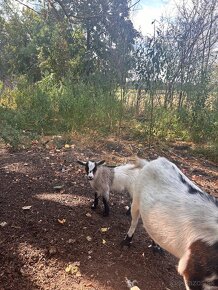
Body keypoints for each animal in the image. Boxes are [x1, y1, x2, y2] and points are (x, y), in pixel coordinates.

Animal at [122, 157, 218, 288]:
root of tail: (152, 162)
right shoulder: (193, 272)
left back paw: (156, 247)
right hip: (136, 197)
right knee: (134, 219)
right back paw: (127, 241)